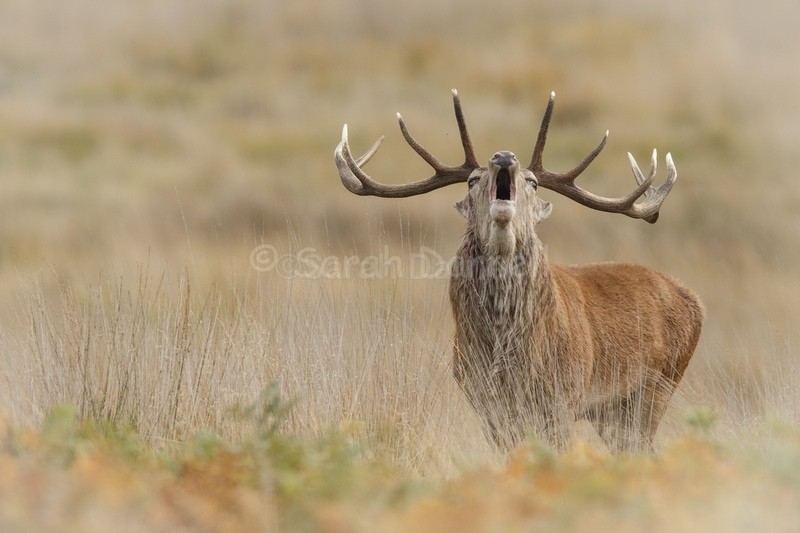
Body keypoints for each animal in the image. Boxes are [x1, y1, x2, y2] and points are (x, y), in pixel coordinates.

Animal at [334, 90, 704, 453]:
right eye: (472, 180)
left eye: (534, 183)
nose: (504, 156)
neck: (510, 356)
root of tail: (694, 301)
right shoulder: (484, 402)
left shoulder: (563, 397)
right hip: (613, 410)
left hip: (657, 386)